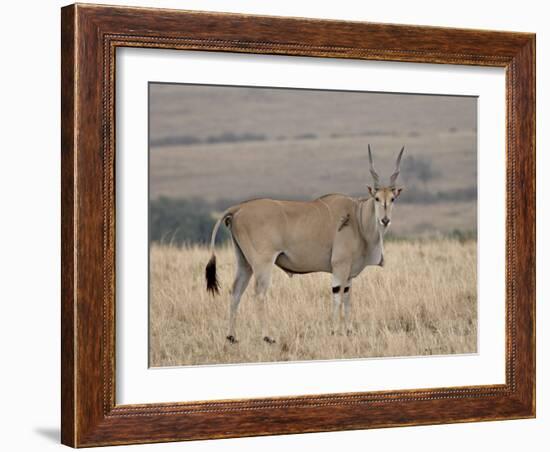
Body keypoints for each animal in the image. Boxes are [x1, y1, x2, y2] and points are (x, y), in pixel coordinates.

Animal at [206, 145, 406, 342]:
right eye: (377, 198)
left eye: (392, 199)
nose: (385, 220)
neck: (357, 217)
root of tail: (238, 208)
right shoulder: (340, 267)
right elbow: (337, 297)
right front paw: (334, 331)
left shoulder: (348, 274)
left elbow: (348, 299)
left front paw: (349, 331)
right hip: (262, 263)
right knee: (259, 293)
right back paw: (267, 336)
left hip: (244, 263)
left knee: (235, 292)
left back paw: (231, 336)